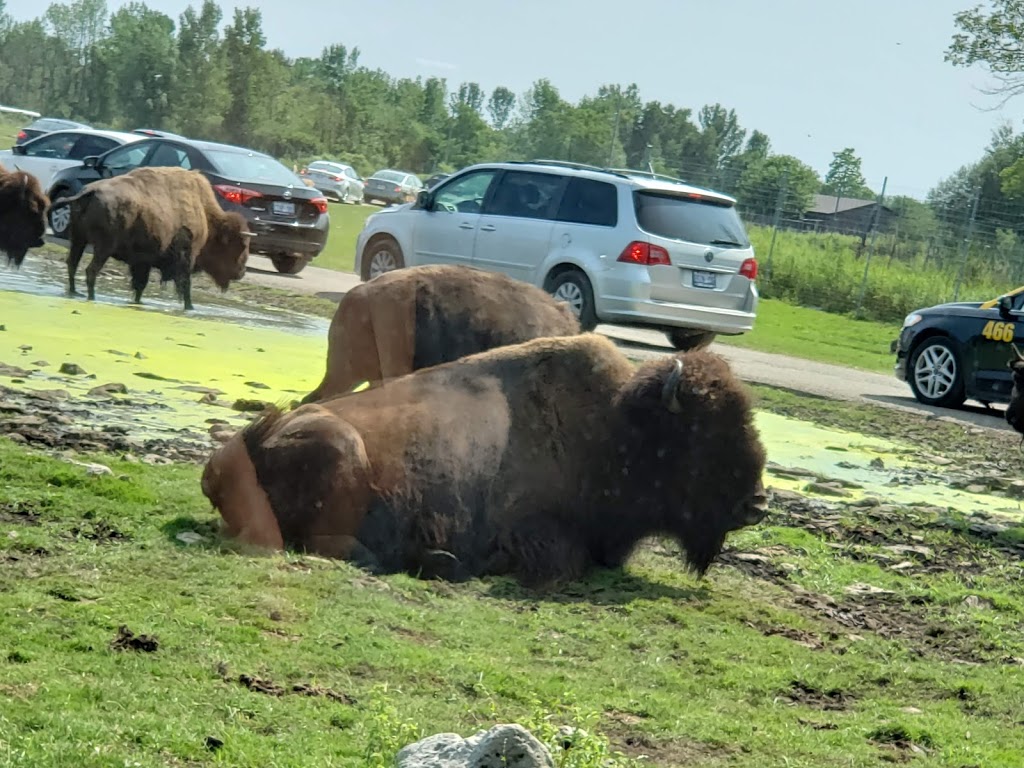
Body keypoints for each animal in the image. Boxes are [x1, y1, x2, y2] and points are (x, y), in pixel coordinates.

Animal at [64, 166, 251, 311]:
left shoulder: (142, 262)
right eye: (239, 246)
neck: (204, 213)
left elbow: (140, 285)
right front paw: (190, 307)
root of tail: (90, 191)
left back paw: (74, 292)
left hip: (78, 240)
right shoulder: (185, 258)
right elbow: (185, 285)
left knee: (72, 264)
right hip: (103, 248)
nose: (242, 272)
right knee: (91, 270)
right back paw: (91, 297)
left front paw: (138, 302)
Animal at [201, 335, 770, 589]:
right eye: (703, 434)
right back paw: (432, 561)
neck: (613, 426)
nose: (757, 505)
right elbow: (565, 561)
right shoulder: (535, 533)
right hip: (342, 449)